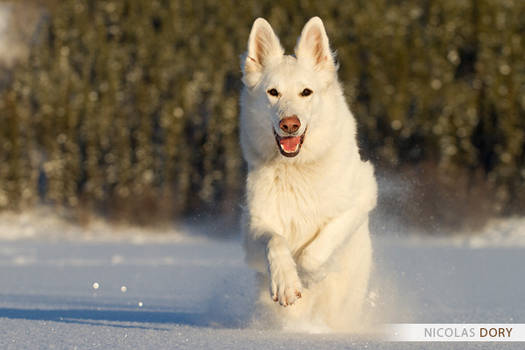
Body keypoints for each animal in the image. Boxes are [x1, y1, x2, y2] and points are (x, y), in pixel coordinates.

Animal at [237, 17, 376, 334]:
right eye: (273, 92)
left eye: (306, 92)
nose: (290, 124)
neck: (297, 169)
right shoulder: (254, 226)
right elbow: (274, 242)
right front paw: (287, 281)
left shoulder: (362, 196)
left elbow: (316, 250)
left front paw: (308, 276)